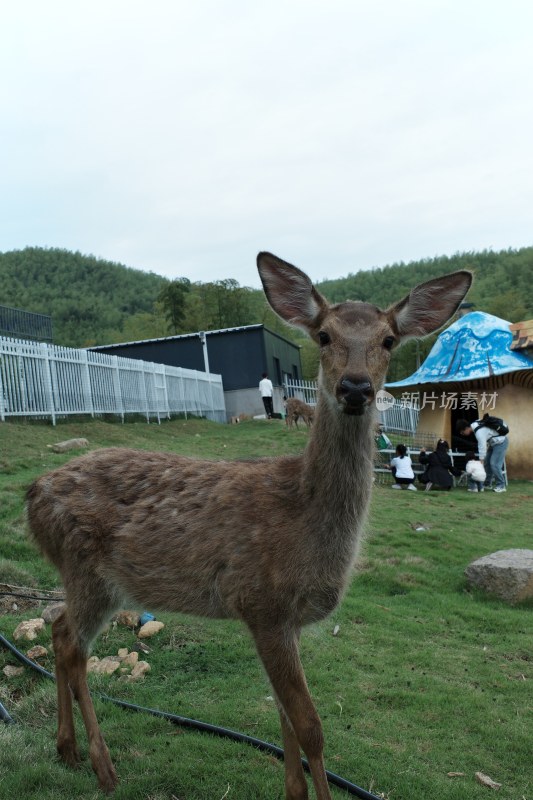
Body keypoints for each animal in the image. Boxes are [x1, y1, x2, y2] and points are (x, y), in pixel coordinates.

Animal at [27, 253, 472, 796]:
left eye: (389, 340)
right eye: (323, 335)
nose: (355, 387)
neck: (304, 519)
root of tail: (32, 495)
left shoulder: (286, 620)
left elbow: (286, 722)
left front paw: (293, 791)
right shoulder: (263, 602)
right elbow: (311, 727)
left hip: (94, 580)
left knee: (59, 630)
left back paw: (66, 749)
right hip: (86, 569)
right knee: (73, 645)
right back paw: (103, 766)